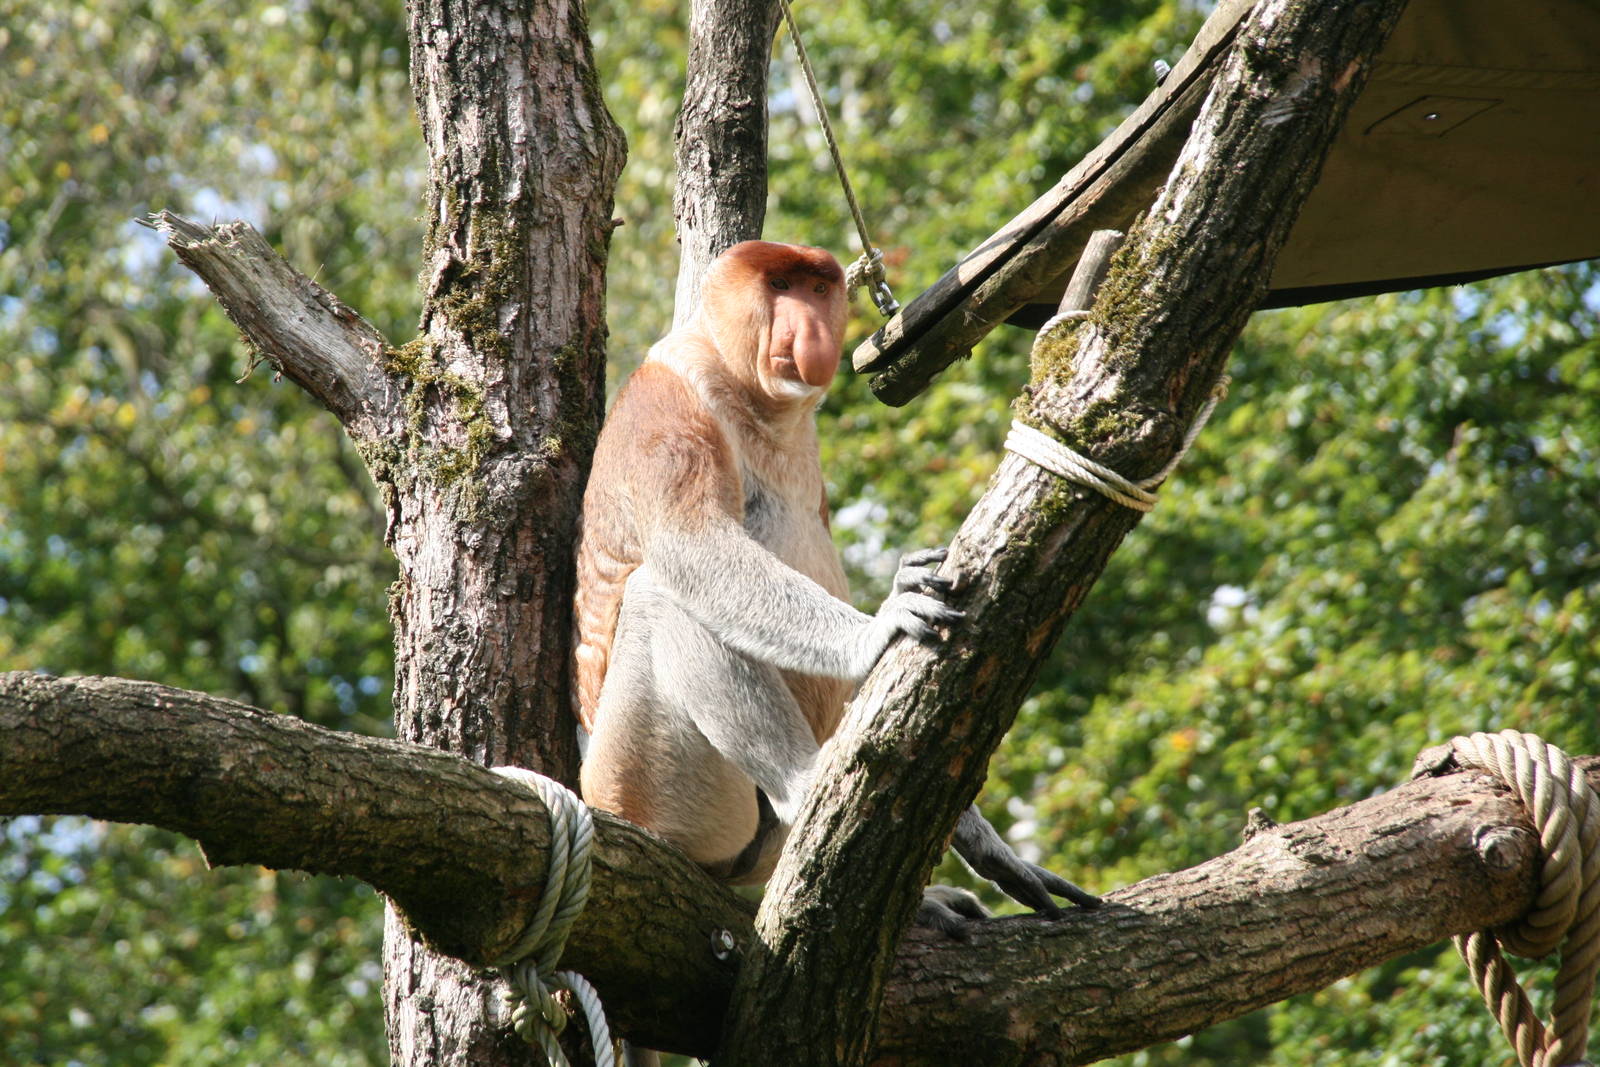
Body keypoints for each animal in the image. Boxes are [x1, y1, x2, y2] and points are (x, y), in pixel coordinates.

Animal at [573, 241, 1098, 932]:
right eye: (779, 285)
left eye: (819, 289)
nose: (810, 329)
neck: (759, 401)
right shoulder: (667, 401)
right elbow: (693, 545)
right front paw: (880, 628)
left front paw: (992, 849)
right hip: (639, 787)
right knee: (659, 595)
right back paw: (805, 785)